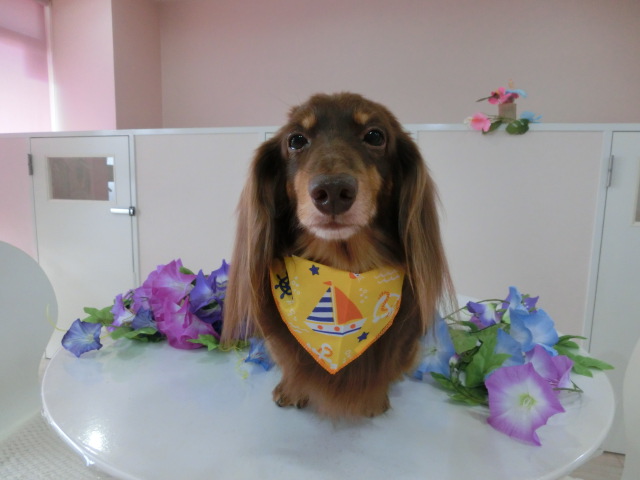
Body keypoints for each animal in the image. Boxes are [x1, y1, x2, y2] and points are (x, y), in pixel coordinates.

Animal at [221, 92, 453, 418]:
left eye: (375, 136)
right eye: (296, 140)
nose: (332, 191)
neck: (343, 269)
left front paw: (374, 400)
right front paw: (291, 389)